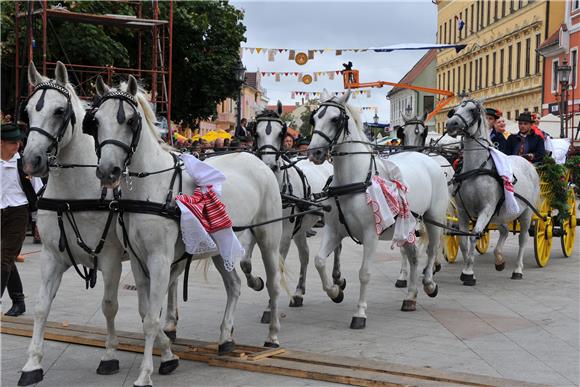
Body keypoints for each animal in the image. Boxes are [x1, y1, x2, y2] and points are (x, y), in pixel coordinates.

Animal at [18, 62, 126, 386]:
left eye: (59, 111)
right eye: (27, 112)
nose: (31, 161)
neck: (73, 194)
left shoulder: (110, 258)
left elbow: (109, 306)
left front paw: (109, 354)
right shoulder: (52, 257)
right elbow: (41, 307)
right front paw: (32, 363)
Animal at [89, 76, 282, 387]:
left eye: (130, 120)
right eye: (95, 122)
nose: (108, 171)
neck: (150, 189)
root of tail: (259, 162)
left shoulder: (159, 259)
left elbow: (151, 319)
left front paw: (145, 373)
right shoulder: (138, 260)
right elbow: (145, 312)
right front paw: (168, 356)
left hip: (269, 237)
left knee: (274, 284)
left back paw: (273, 336)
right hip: (221, 244)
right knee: (234, 286)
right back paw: (226, 337)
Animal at [253, 101, 344, 308]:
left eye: (281, 133)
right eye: (256, 133)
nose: (269, 166)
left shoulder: (284, 234)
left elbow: (277, 265)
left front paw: (270, 305)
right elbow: (244, 262)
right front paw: (255, 282)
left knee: (337, 246)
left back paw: (337, 277)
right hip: (301, 227)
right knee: (305, 255)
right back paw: (299, 291)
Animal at [308, 91, 448, 330]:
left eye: (335, 119)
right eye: (315, 118)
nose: (315, 152)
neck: (353, 182)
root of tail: (426, 158)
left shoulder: (370, 235)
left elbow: (364, 273)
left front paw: (360, 314)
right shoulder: (333, 231)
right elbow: (318, 261)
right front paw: (335, 291)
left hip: (433, 218)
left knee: (430, 251)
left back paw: (429, 284)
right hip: (407, 226)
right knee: (413, 257)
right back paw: (410, 296)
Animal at [444, 98, 540, 284]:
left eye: (472, 110)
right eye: (455, 109)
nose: (451, 123)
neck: (476, 170)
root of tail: (527, 162)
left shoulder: (486, 209)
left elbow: (474, 236)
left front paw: (468, 272)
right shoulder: (462, 211)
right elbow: (463, 240)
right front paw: (467, 265)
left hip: (526, 213)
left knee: (523, 238)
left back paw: (518, 269)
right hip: (502, 213)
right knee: (504, 230)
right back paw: (499, 259)